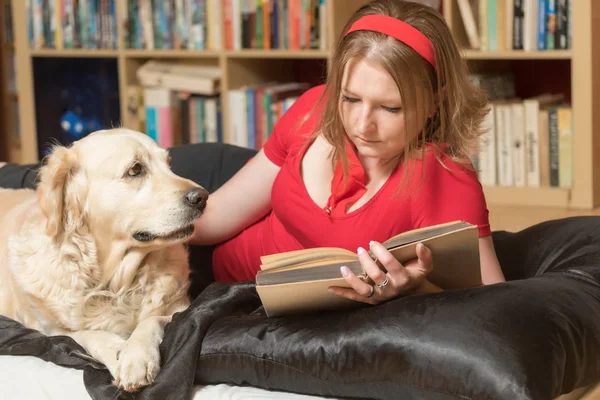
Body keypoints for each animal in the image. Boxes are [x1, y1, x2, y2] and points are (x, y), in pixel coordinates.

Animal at [0, 130, 209, 392]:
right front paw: (119, 352)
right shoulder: (48, 329)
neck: (116, 282)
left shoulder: (180, 307)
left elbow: (151, 320)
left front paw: (137, 356)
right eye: (135, 169)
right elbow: (86, 334)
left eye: (169, 164)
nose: (202, 197)